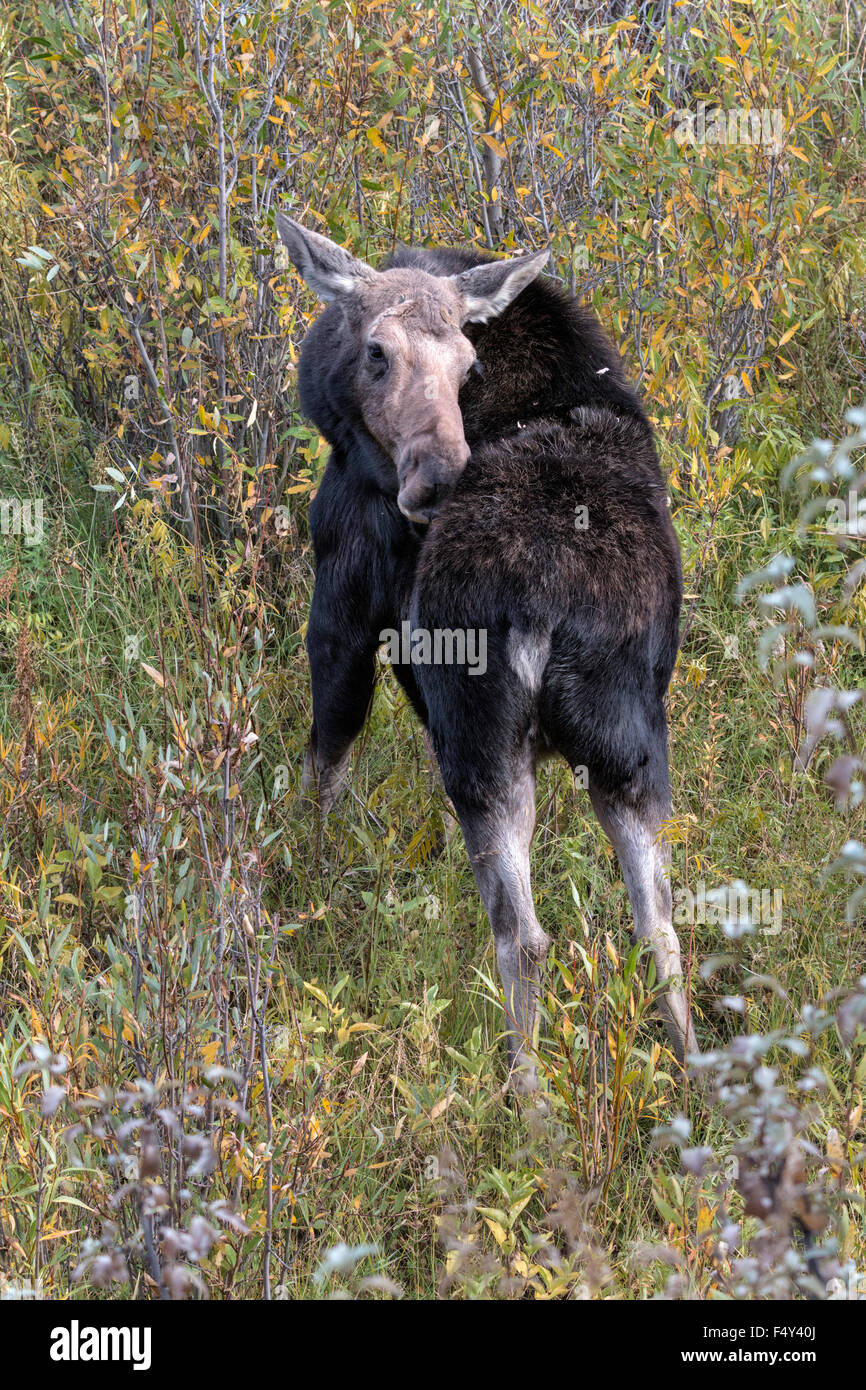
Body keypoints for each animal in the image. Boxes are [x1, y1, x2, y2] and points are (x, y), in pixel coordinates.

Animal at [280, 211, 700, 1089]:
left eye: (467, 366)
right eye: (380, 351)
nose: (438, 478)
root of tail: (553, 605)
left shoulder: (343, 586)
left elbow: (325, 761)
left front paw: (306, 875)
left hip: (482, 740)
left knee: (526, 936)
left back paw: (528, 1097)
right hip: (632, 745)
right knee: (661, 926)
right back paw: (693, 1077)